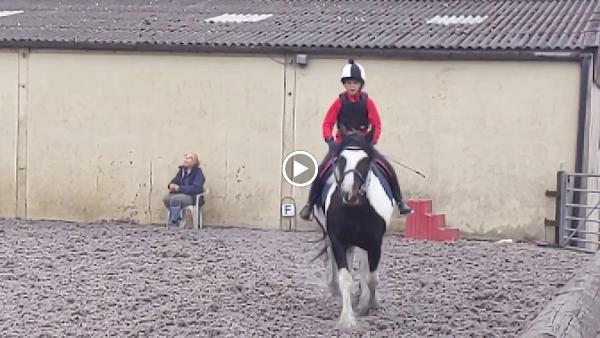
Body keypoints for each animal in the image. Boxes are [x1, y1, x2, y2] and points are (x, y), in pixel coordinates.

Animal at [310, 125, 398, 328]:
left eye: (365, 161)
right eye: (342, 159)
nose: (350, 194)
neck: (355, 209)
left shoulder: (374, 243)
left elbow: (372, 278)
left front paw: (369, 304)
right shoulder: (339, 241)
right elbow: (345, 278)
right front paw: (347, 319)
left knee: (364, 265)